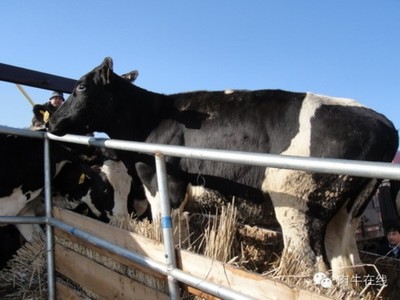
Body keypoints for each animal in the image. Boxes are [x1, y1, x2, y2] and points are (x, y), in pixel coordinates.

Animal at [48, 57, 398, 280]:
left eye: (80, 87)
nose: (52, 121)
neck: (153, 117)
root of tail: (384, 124)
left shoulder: (165, 186)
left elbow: (169, 231)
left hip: (300, 207)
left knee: (311, 264)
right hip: (347, 210)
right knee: (347, 265)